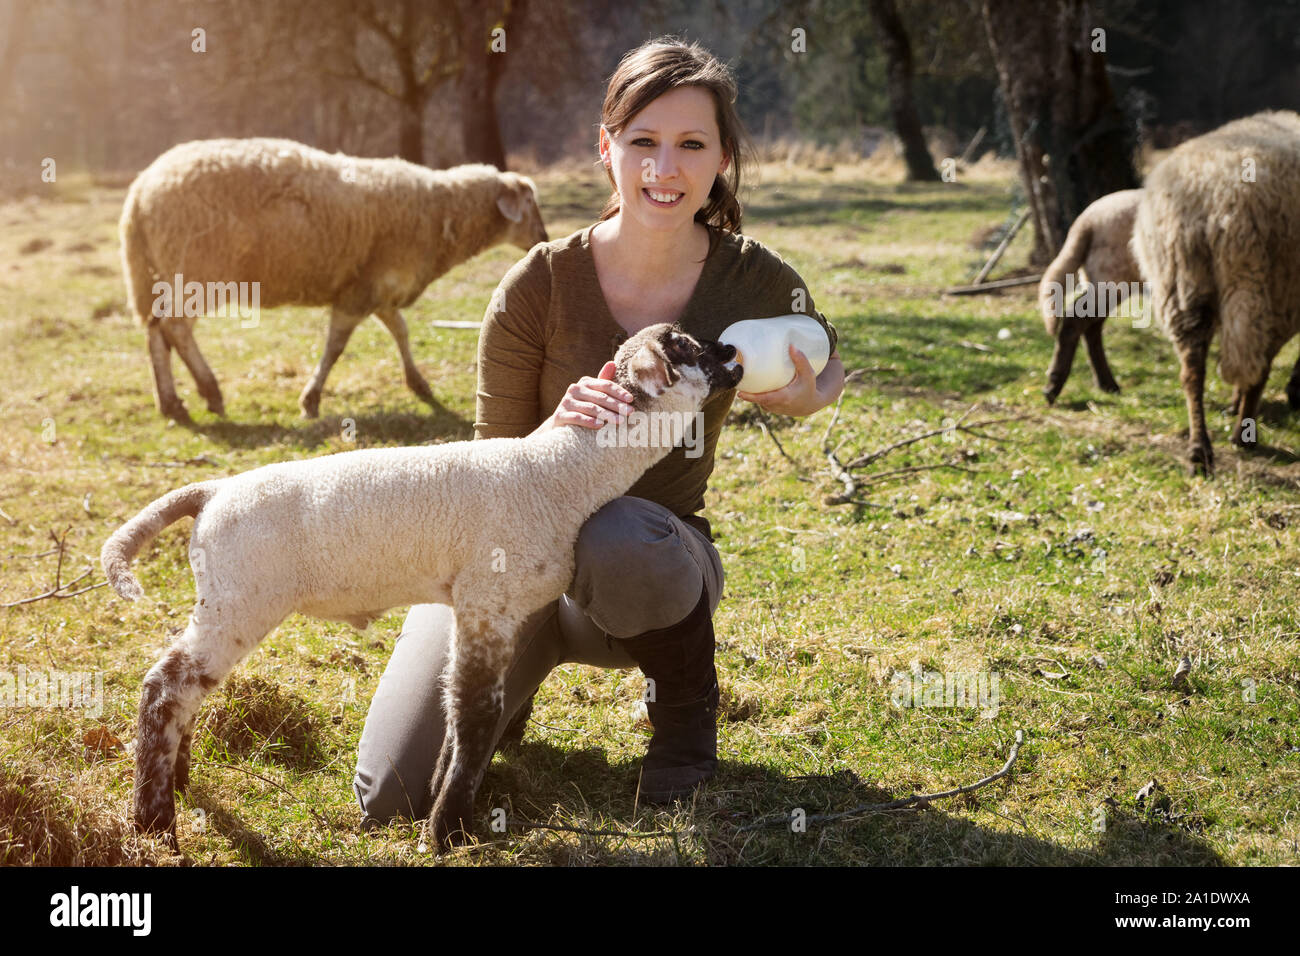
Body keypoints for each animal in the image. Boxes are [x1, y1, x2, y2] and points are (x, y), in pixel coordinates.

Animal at [98, 323, 743, 853]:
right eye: (687, 347)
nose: (733, 352)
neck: (558, 475)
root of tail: (209, 492)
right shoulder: (487, 599)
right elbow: (478, 711)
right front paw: (449, 831)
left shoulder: (489, 608)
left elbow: (463, 708)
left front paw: (443, 802)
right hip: (240, 598)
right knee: (164, 687)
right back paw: (154, 822)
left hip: (226, 600)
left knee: (184, 690)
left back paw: (179, 783)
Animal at [118, 138, 548, 418]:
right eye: (529, 203)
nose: (543, 238)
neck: (440, 213)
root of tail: (141, 190)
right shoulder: (363, 291)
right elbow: (337, 346)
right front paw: (310, 399)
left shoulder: (377, 288)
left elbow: (400, 331)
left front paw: (419, 385)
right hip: (198, 270)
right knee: (176, 328)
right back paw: (210, 391)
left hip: (164, 273)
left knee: (156, 330)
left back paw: (171, 403)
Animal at [1034, 188, 1138, 403]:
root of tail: (1086, 220)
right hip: (1111, 276)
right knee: (1076, 321)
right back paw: (1053, 387)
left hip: (1100, 277)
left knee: (1090, 326)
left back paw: (1107, 384)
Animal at [1128, 111, 1300, 476]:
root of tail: (1219, 196)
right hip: (1276, 288)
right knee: (1260, 365)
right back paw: (1243, 435)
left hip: (1181, 287)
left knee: (1193, 372)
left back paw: (1199, 450)